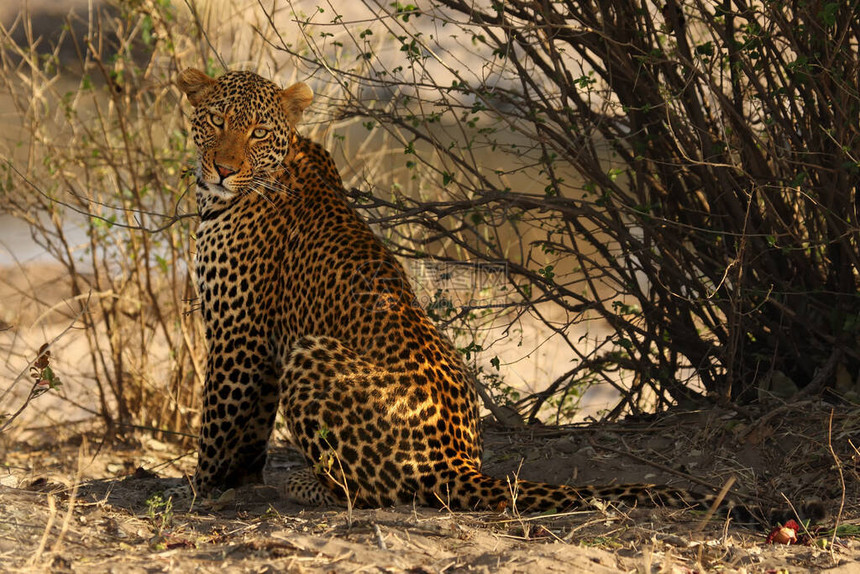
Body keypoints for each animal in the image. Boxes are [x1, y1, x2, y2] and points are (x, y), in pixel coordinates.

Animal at [173, 67, 732, 516]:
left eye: (258, 132)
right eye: (218, 121)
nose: (224, 169)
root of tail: (459, 462)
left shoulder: (239, 336)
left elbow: (219, 421)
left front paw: (201, 489)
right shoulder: (255, 345)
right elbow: (250, 431)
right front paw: (240, 482)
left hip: (310, 352)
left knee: (369, 492)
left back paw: (306, 486)